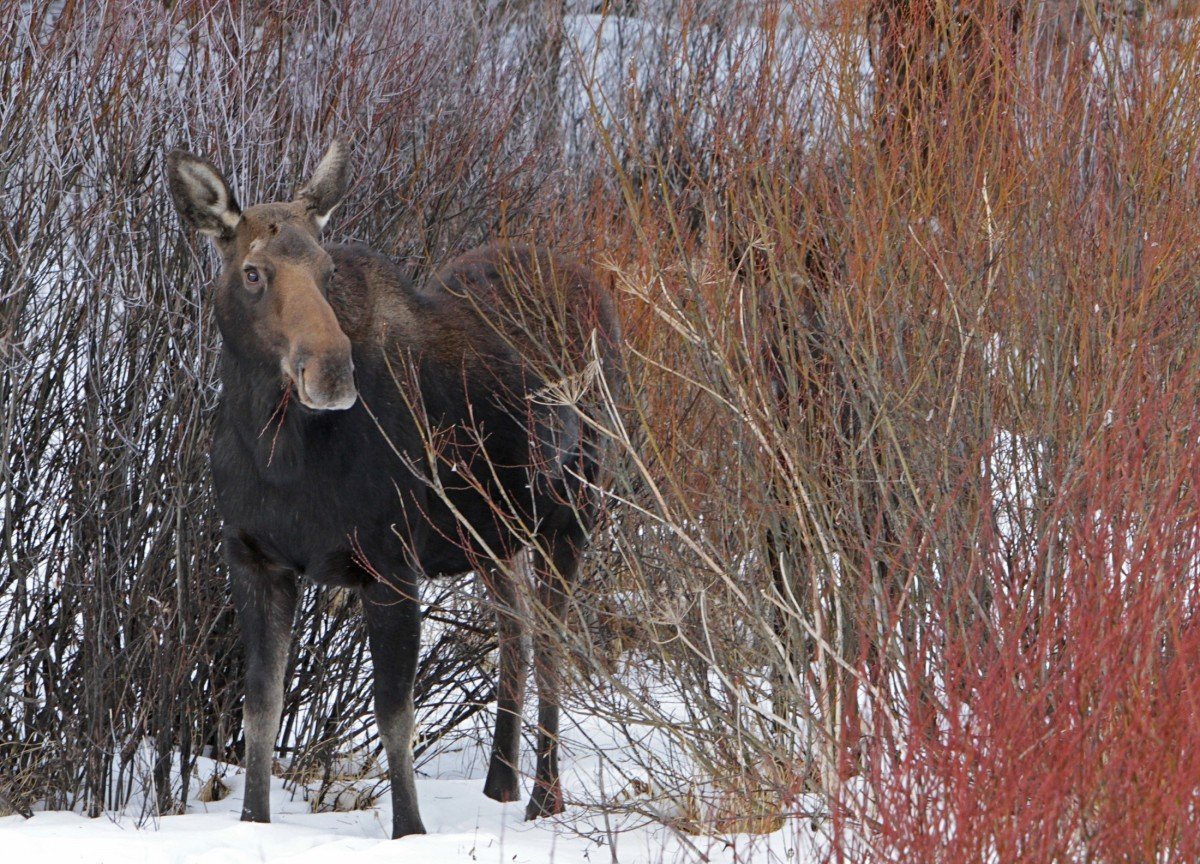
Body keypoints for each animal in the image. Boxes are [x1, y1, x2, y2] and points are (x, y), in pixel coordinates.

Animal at [165, 141, 624, 835]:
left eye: (328, 269)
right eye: (253, 272)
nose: (331, 371)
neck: (280, 453)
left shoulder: (390, 564)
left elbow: (394, 717)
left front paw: (410, 831)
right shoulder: (254, 558)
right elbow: (260, 711)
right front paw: (253, 822)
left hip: (570, 515)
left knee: (550, 645)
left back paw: (545, 797)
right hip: (492, 536)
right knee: (514, 634)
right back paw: (500, 784)